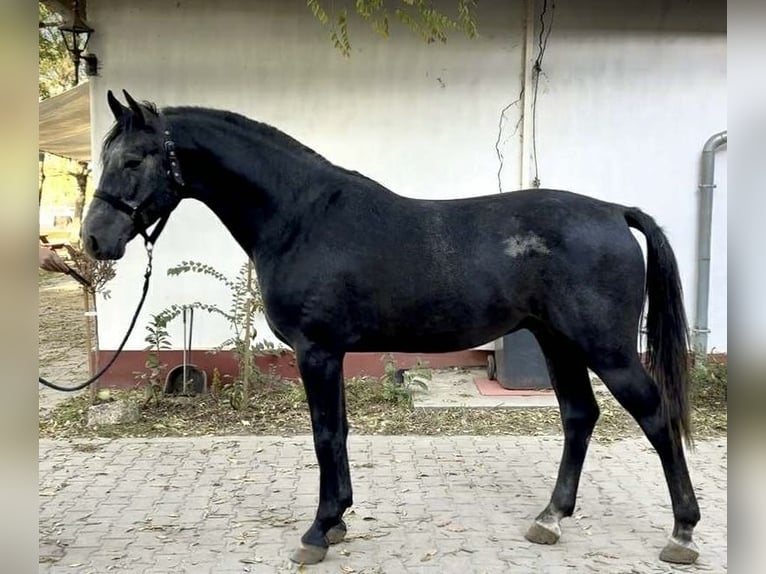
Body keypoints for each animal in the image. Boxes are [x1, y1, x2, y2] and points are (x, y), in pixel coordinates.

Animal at [82, 90, 700, 566]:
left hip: (606, 348)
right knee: (579, 415)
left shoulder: (317, 351)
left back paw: (682, 532)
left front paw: (318, 531)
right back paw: (550, 519)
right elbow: (338, 433)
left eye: (134, 160)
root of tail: (614, 211)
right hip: (558, 342)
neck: (301, 216)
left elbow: (325, 435)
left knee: (654, 414)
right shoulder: (330, 354)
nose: (94, 240)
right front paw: (337, 522)